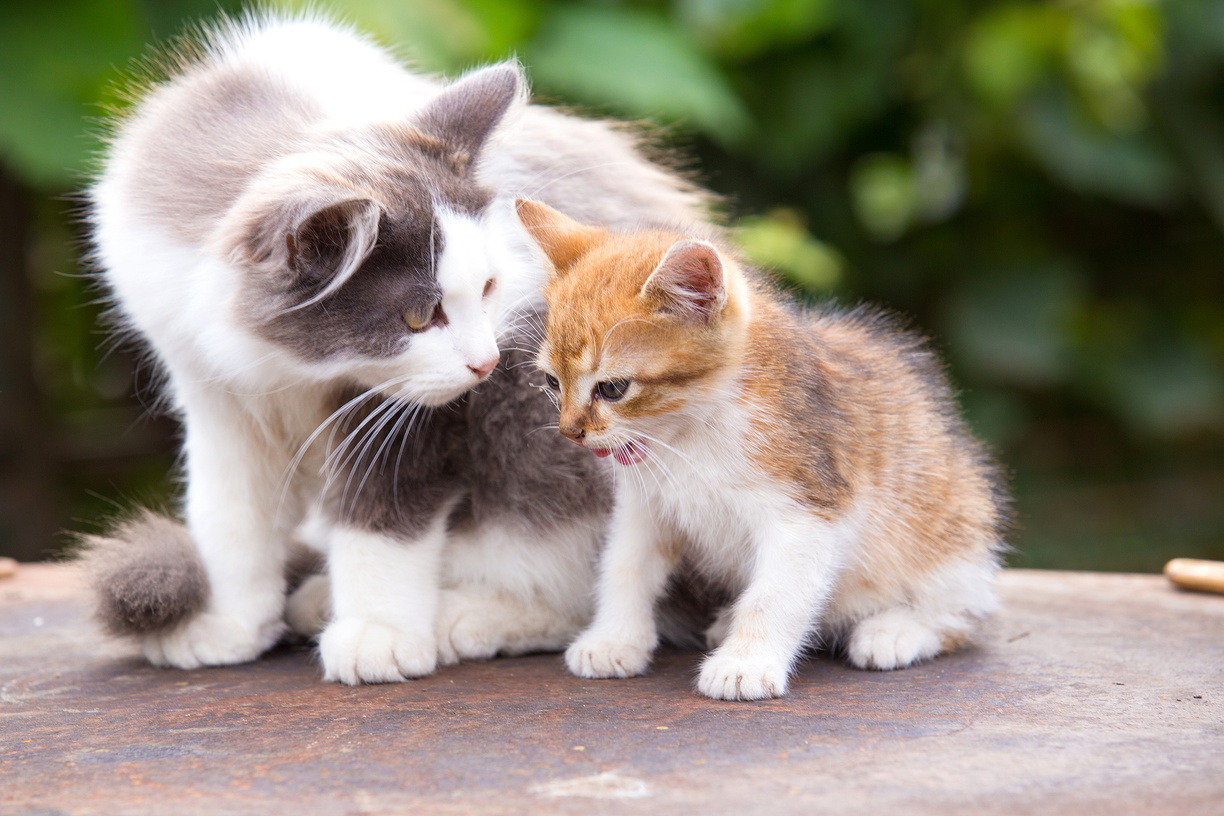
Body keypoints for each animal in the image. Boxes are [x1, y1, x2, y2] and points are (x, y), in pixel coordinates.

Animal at [86, 11, 714, 685]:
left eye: (489, 286)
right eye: (419, 316)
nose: (486, 362)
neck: (285, 365)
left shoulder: (409, 412)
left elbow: (384, 516)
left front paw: (377, 633)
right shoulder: (211, 388)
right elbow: (233, 519)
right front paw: (230, 622)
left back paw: (469, 615)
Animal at [521, 200, 1008, 699]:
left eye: (613, 388)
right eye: (552, 382)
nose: (570, 432)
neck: (690, 435)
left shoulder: (808, 511)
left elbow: (775, 594)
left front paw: (745, 664)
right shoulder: (644, 507)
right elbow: (624, 567)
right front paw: (614, 639)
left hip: (950, 535)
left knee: (963, 613)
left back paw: (895, 631)